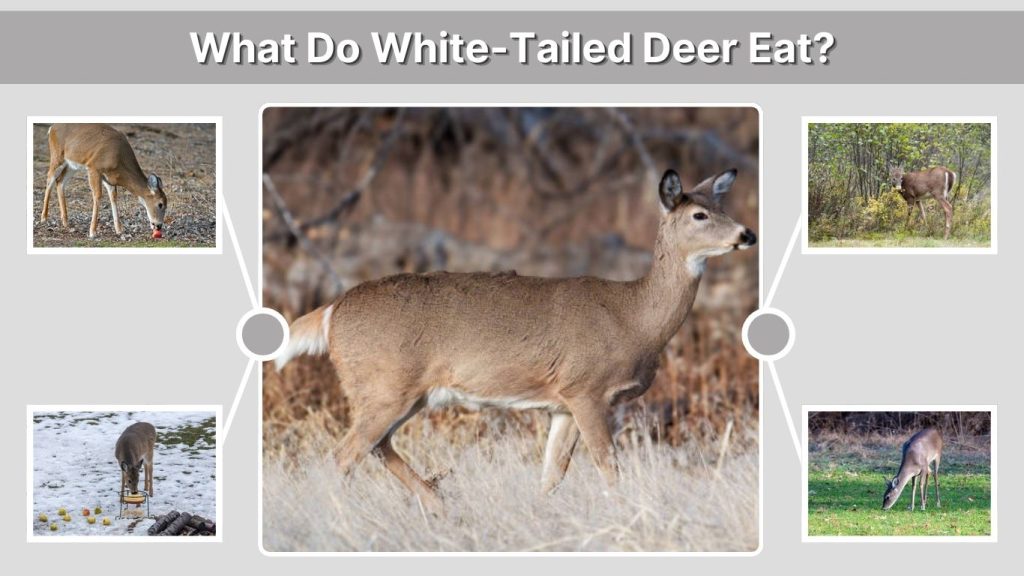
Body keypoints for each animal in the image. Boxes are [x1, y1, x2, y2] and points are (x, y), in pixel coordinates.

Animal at [39, 124, 168, 239]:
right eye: (160, 204)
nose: (159, 225)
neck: (119, 159)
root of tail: (51, 128)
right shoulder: (94, 167)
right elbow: (98, 196)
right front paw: (92, 232)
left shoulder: (108, 178)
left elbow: (113, 197)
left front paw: (119, 230)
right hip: (57, 156)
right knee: (50, 177)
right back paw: (44, 218)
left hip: (73, 165)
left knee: (60, 181)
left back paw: (65, 222)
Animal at [273, 167, 756, 514]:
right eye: (699, 215)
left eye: (720, 205)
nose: (746, 234)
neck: (635, 317)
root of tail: (331, 311)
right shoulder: (587, 389)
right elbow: (609, 468)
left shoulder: (562, 403)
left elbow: (552, 474)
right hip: (383, 385)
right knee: (343, 455)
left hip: (403, 392)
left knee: (375, 447)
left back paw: (437, 500)